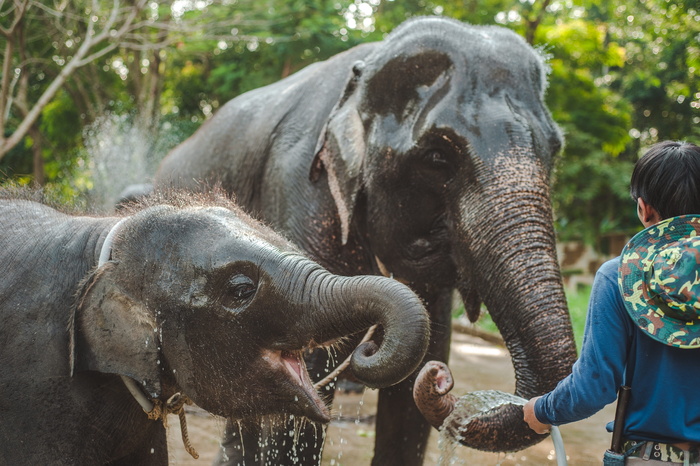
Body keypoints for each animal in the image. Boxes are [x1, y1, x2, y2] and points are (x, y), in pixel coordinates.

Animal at [156, 15, 576, 466]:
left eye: (555, 150)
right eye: (437, 158)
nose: (441, 381)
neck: (366, 66)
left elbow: (421, 369)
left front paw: (423, 368)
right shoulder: (299, 185)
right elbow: (301, 372)